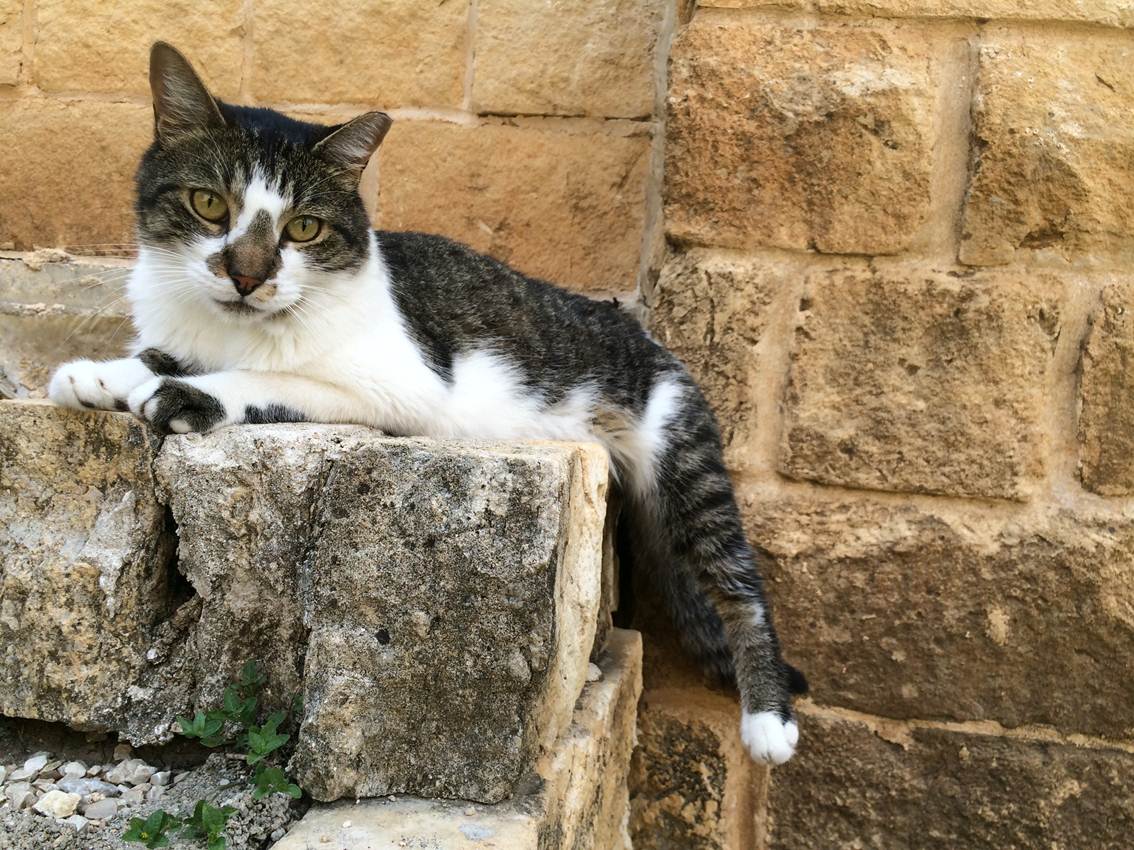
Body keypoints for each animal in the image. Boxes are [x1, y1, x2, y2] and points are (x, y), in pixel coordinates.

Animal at [49, 42, 807, 765]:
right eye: (210, 205)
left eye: (303, 229)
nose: (247, 275)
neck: (229, 326)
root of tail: (642, 333)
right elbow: (161, 351)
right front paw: (102, 374)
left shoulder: (404, 386)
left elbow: (272, 376)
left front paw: (187, 390)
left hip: (679, 450)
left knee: (738, 586)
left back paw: (768, 718)